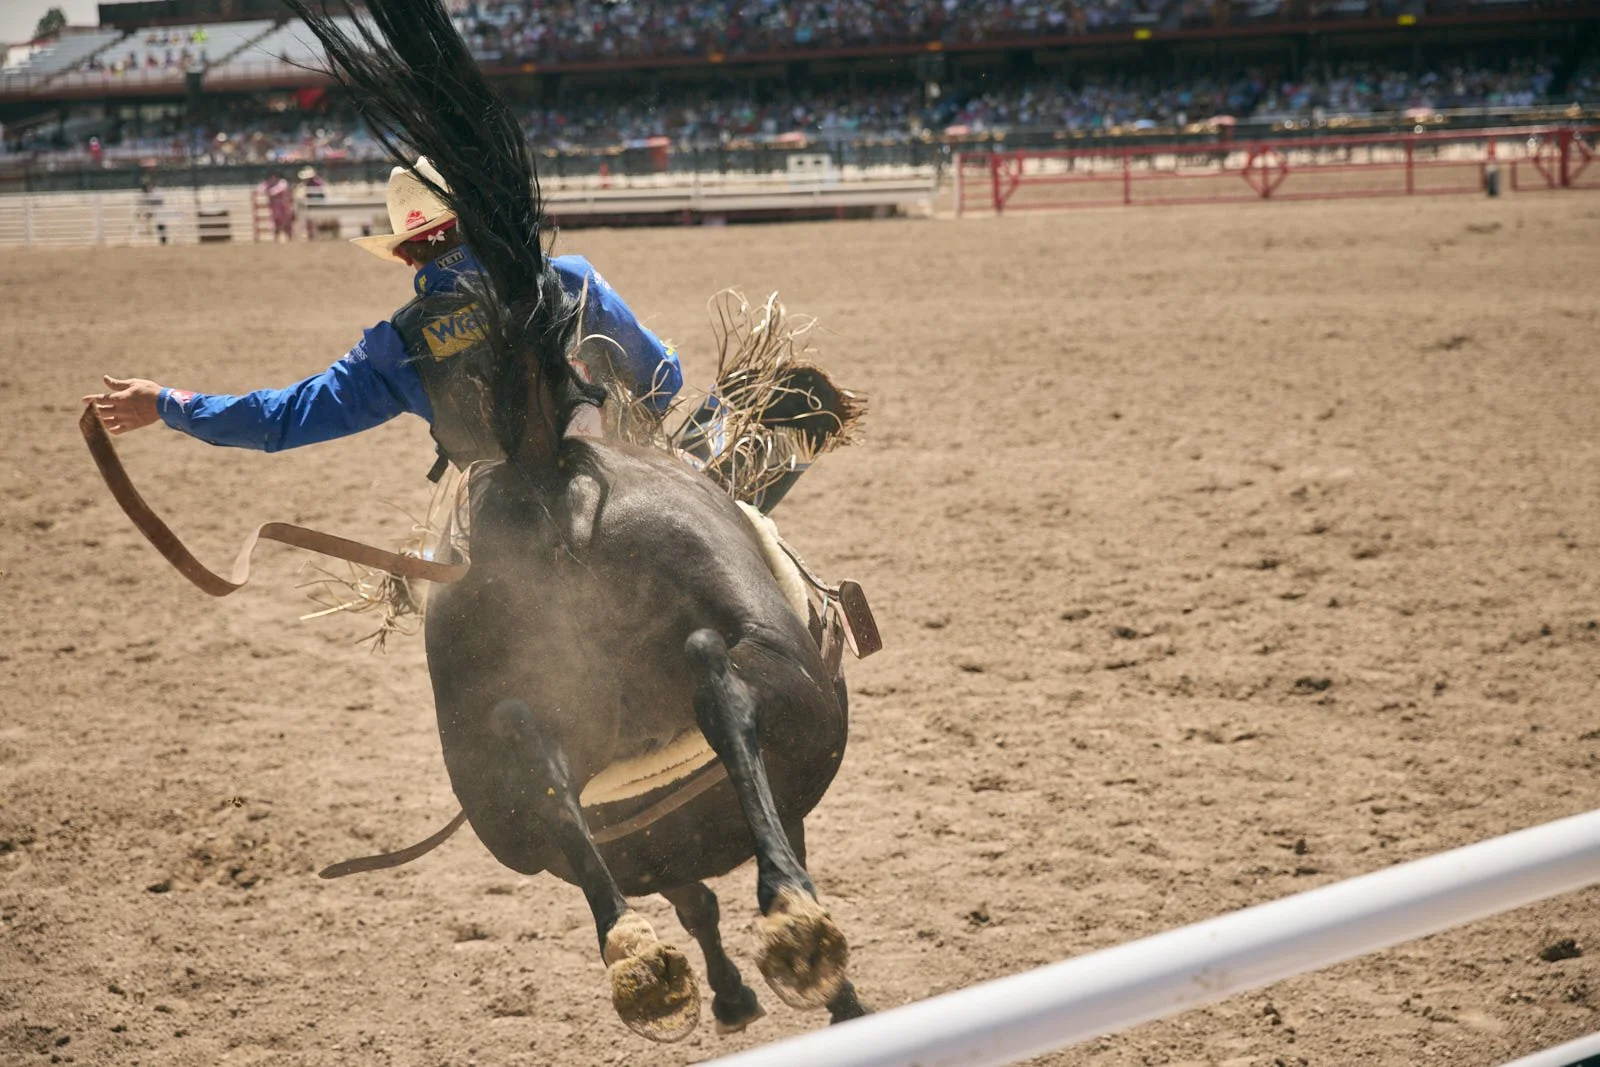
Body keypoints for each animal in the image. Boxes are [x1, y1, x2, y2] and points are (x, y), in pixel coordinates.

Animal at [287, 0, 876, 1041]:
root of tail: (542, 468)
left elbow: (686, 892)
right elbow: (707, 891)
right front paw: (776, 993)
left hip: (498, 777)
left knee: (543, 767)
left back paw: (640, 961)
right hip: (781, 676)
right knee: (717, 684)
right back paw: (794, 929)